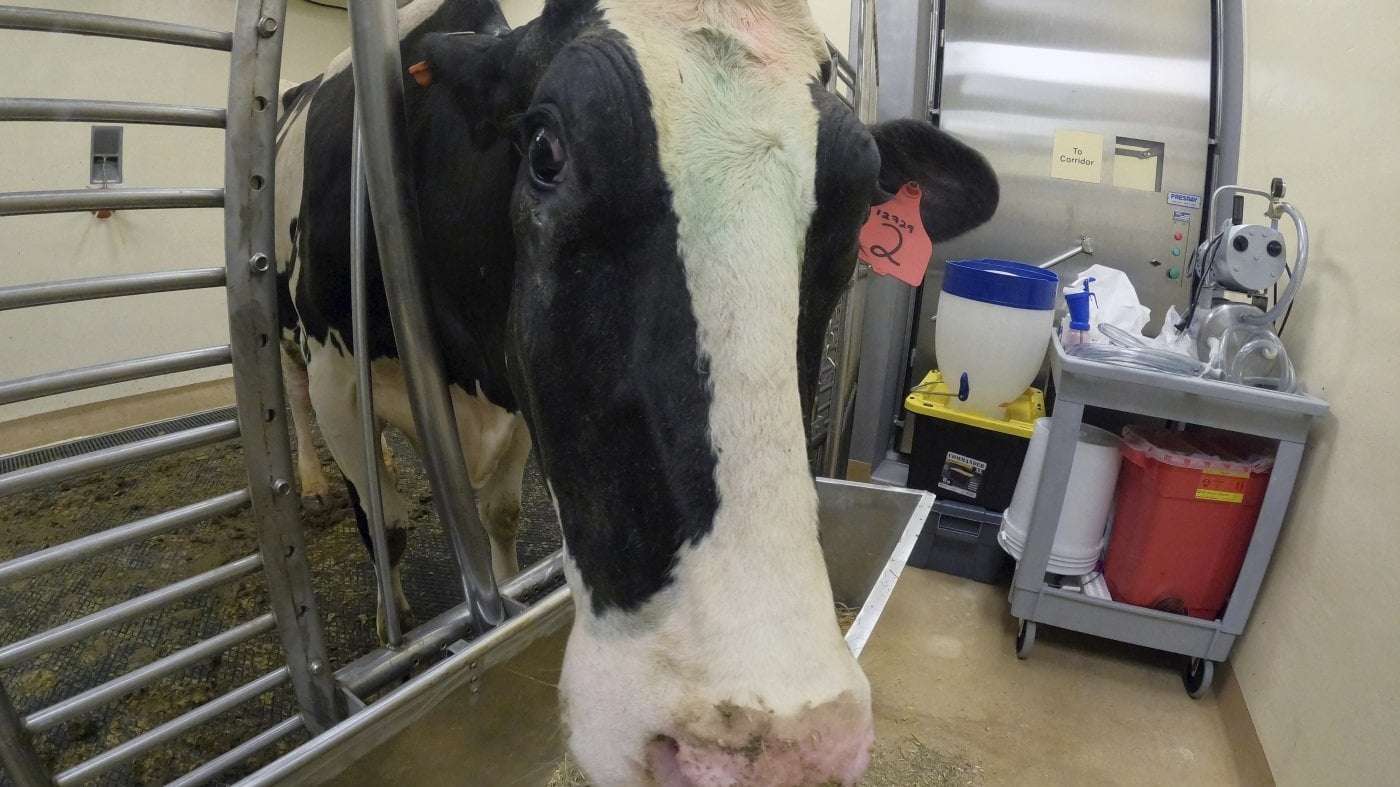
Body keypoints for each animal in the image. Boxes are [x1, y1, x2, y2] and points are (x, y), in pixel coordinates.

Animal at [275, 0, 998, 783]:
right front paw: (397, 633)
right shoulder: (336, 372)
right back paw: (311, 484)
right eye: (545, 151)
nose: (783, 754)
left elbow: (501, 512)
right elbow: (387, 526)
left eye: (863, 199)